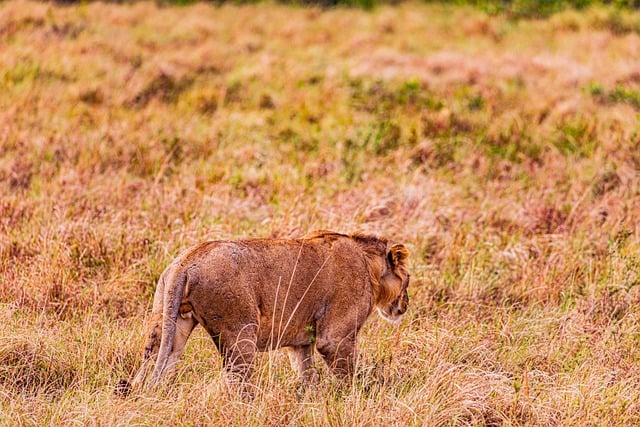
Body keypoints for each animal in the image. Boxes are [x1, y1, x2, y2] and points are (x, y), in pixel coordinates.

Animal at [124, 231, 410, 398]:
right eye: (408, 281)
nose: (404, 306)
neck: (369, 264)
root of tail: (185, 262)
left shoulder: (300, 342)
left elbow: (307, 374)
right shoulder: (334, 338)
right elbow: (347, 376)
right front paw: (355, 398)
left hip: (169, 324)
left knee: (152, 366)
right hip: (240, 333)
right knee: (238, 385)